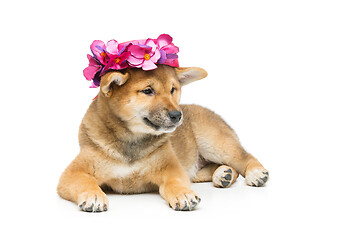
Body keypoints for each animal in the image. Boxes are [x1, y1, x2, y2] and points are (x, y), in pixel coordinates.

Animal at [57, 64, 268, 211]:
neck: (132, 141)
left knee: (244, 157)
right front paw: (93, 196)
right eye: (148, 91)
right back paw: (224, 174)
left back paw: (255, 173)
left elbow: (175, 183)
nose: (177, 115)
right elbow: (86, 182)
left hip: (215, 143)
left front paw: (183, 194)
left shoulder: (171, 169)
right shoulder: (74, 173)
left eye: (173, 89)